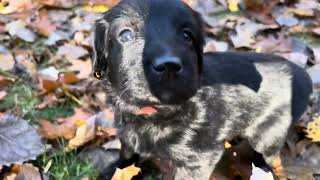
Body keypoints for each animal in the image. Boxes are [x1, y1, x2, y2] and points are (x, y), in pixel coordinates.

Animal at [92, 0, 312, 179]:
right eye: (125, 34)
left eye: (187, 35)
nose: (168, 66)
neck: (154, 113)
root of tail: (303, 74)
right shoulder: (128, 138)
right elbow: (126, 157)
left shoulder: (199, 159)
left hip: (269, 134)